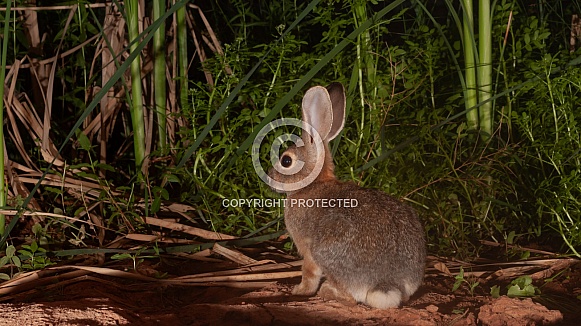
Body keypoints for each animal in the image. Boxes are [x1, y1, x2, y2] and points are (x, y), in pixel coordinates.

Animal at [268, 81, 426, 308]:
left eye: (286, 161)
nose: (270, 178)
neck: (314, 183)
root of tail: (388, 282)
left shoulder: (307, 248)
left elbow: (309, 272)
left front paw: (299, 290)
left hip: (326, 249)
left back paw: (327, 291)